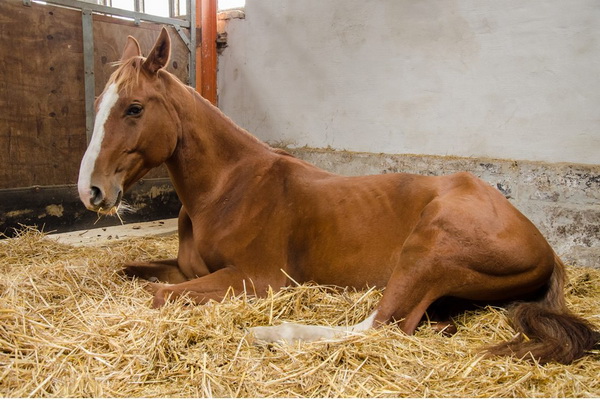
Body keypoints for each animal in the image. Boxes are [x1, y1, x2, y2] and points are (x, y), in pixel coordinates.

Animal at [77, 28, 596, 364]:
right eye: (101, 103)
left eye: (134, 108)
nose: (91, 190)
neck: (228, 189)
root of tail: (545, 247)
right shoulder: (191, 270)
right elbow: (134, 273)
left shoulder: (257, 279)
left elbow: (159, 296)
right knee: (417, 322)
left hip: (430, 249)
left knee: (382, 324)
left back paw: (271, 333)